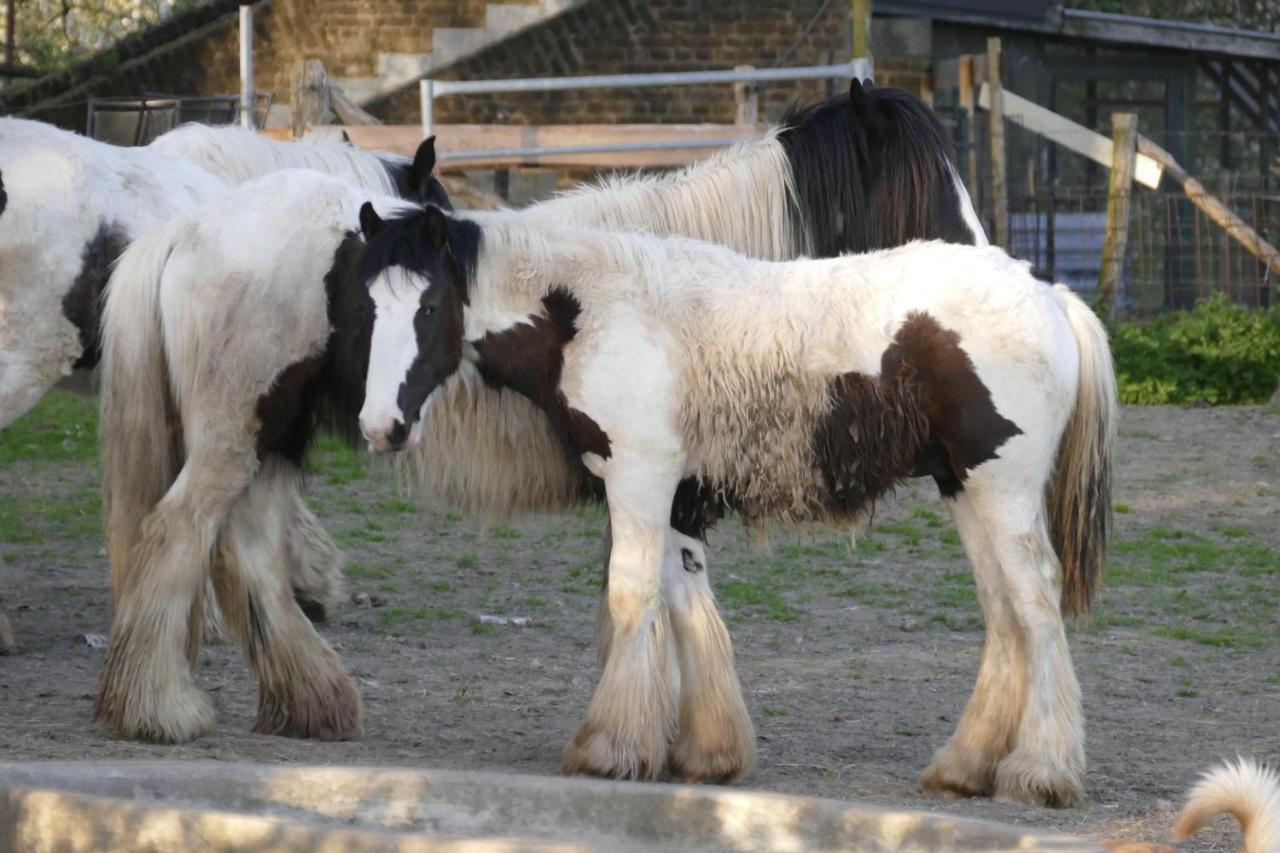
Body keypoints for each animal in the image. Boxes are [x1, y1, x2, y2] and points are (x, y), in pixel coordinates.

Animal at [355, 201, 1116, 804]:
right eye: (365, 308)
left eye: (428, 307)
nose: (379, 427)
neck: (595, 313)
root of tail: (1051, 295)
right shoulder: (677, 500)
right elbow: (686, 606)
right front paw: (707, 754)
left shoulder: (639, 478)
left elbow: (632, 598)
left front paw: (610, 748)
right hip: (965, 487)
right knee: (1004, 612)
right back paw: (966, 766)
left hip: (1002, 488)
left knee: (1036, 605)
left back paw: (1041, 772)